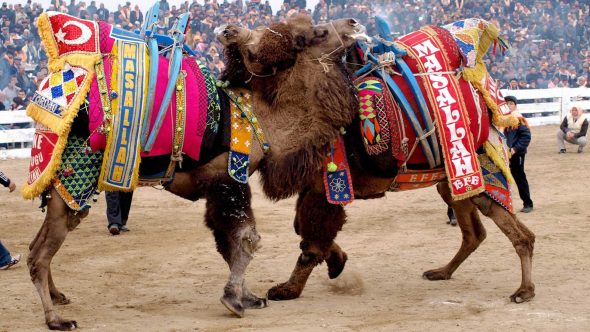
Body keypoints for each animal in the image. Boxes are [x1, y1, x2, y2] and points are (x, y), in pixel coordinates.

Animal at [27, 13, 370, 330]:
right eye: (318, 32)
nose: (355, 22)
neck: (262, 119)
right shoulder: (228, 179)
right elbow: (246, 239)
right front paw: (234, 300)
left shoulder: (215, 188)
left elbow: (227, 242)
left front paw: (249, 296)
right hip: (76, 175)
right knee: (38, 255)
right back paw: (56, 319)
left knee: (36, 246)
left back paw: (58, 297)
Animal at [216, 16, 536, 304]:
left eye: (316, 33)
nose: (226, 29)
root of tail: (491, 105)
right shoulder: (316, 186)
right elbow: (305, 230)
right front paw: (337, 262)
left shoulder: (327, 186)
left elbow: (311, 240)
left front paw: (287, 290)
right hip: (452, 181)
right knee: (474, 233)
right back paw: (441, 272)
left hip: (480, 171)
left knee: (520, 234)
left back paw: (524, 291)